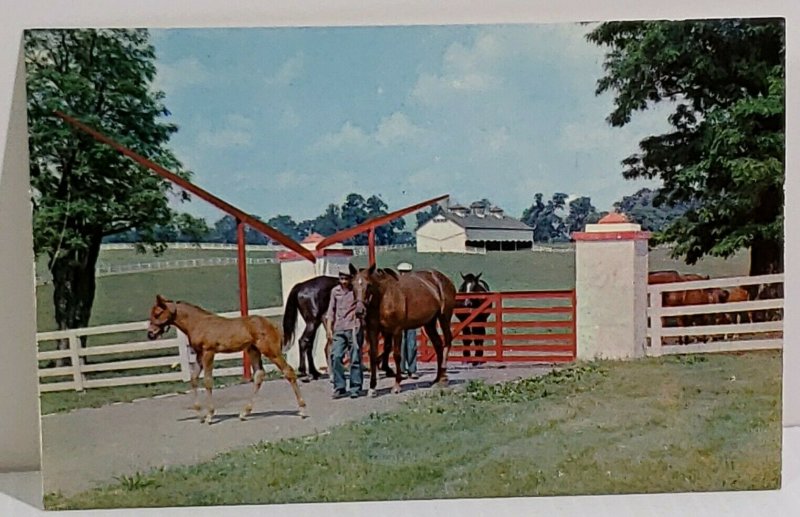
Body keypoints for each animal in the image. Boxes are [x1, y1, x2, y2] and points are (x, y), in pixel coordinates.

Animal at [147, 294, 306, 424]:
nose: (150, 334)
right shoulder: (199, 354)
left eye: (157, 313)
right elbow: (193, 379)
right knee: (259, 375)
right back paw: (244, 413)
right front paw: (200, 414)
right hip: (253, 351)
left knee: (288, 371)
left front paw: (210, 416)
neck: (198, 322)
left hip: (271, 351)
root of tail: (272, 324)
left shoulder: (209, 352)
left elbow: (208, 381)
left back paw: (302, 410)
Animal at [350, 260, 456, 398]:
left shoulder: (397, 330)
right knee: (438, 345)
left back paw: (443, 378)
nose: (359, 311)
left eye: (368, 285)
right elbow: (373, 355)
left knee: (447, 341)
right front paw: (372, 388)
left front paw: (396, 386)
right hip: (429, 323)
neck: (384, 297)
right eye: (352, 285)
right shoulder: (373, 330)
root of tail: (445, 279)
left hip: (444, 317)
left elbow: (397, 355)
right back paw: (437, 379)